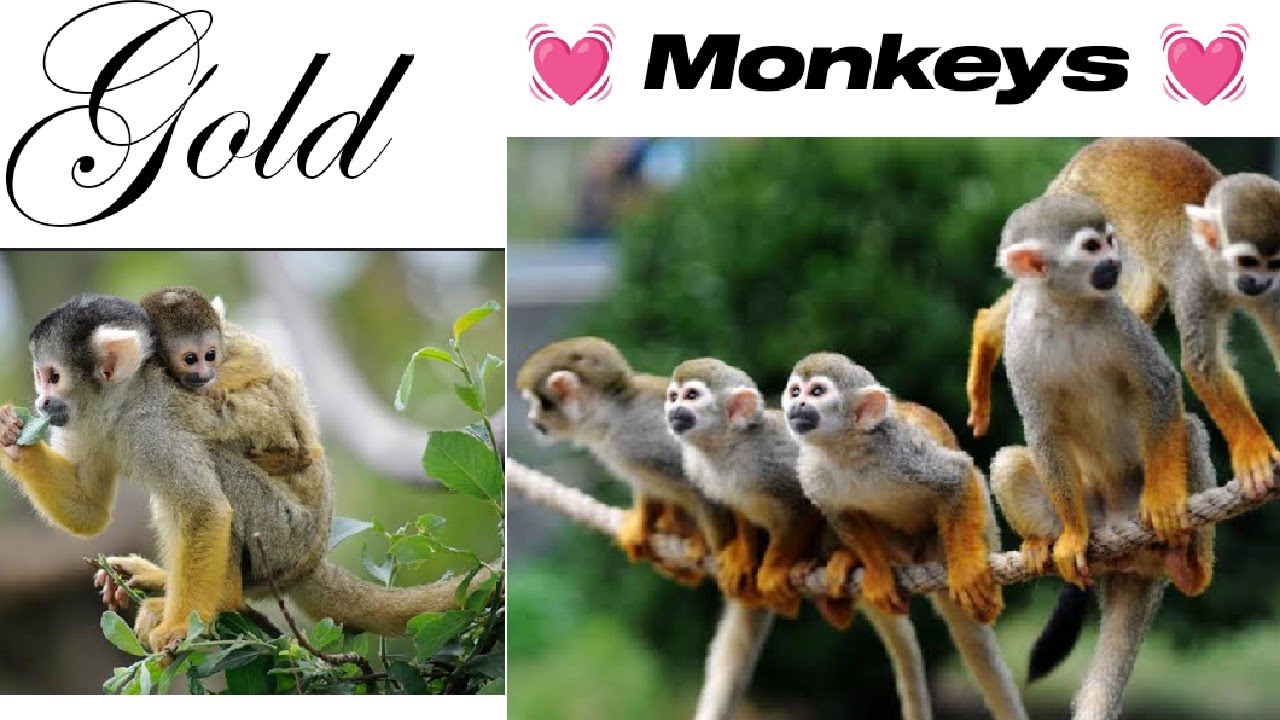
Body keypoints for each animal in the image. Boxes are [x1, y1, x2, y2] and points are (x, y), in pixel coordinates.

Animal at [140, 286, 320, 476]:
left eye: (210, 355)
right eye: (190, 359)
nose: (205, 376)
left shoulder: (227, 335)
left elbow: (257, 357)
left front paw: (214, 388)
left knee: (280, 375)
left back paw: (299, 458)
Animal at [667, 356, 939, 720]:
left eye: (691, 396)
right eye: (673, 396)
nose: (673, 408)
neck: (728, 449)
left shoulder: (768, 459)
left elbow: (803, 505)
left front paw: (771, 571)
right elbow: (743, 513)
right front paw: (744, 559)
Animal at [782, 353, 1027, 720]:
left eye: (817, 392)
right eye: (795, 391)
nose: (796, 404)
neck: (845, 449)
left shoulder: (900, 450)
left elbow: (957, 475)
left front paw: (967, 570)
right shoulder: (812, 472)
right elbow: (841, 514)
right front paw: (878, 574)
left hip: (969, 533)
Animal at [965, 138, 1280, 499]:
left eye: (1273, 264)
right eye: (1247, 261)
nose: (1257, 283)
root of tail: (1098, 147)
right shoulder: (1194, 276)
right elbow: (1202, 362)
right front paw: (1254, 450)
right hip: (1083, 207)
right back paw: (987, 331)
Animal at [989, 195, 1216, 720]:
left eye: (1111, 240)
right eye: (1092, 247)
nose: (1115, 261)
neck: (1063, 309)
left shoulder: (1119, 318)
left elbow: (1159, 386)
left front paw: (1165, 501)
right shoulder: (1018, 340)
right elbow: (1042, 431)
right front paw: (1071, 536)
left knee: (1189, 430)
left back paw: (1187, 562)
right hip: (1095, 518)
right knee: (1009, 462)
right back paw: (1045, 546)